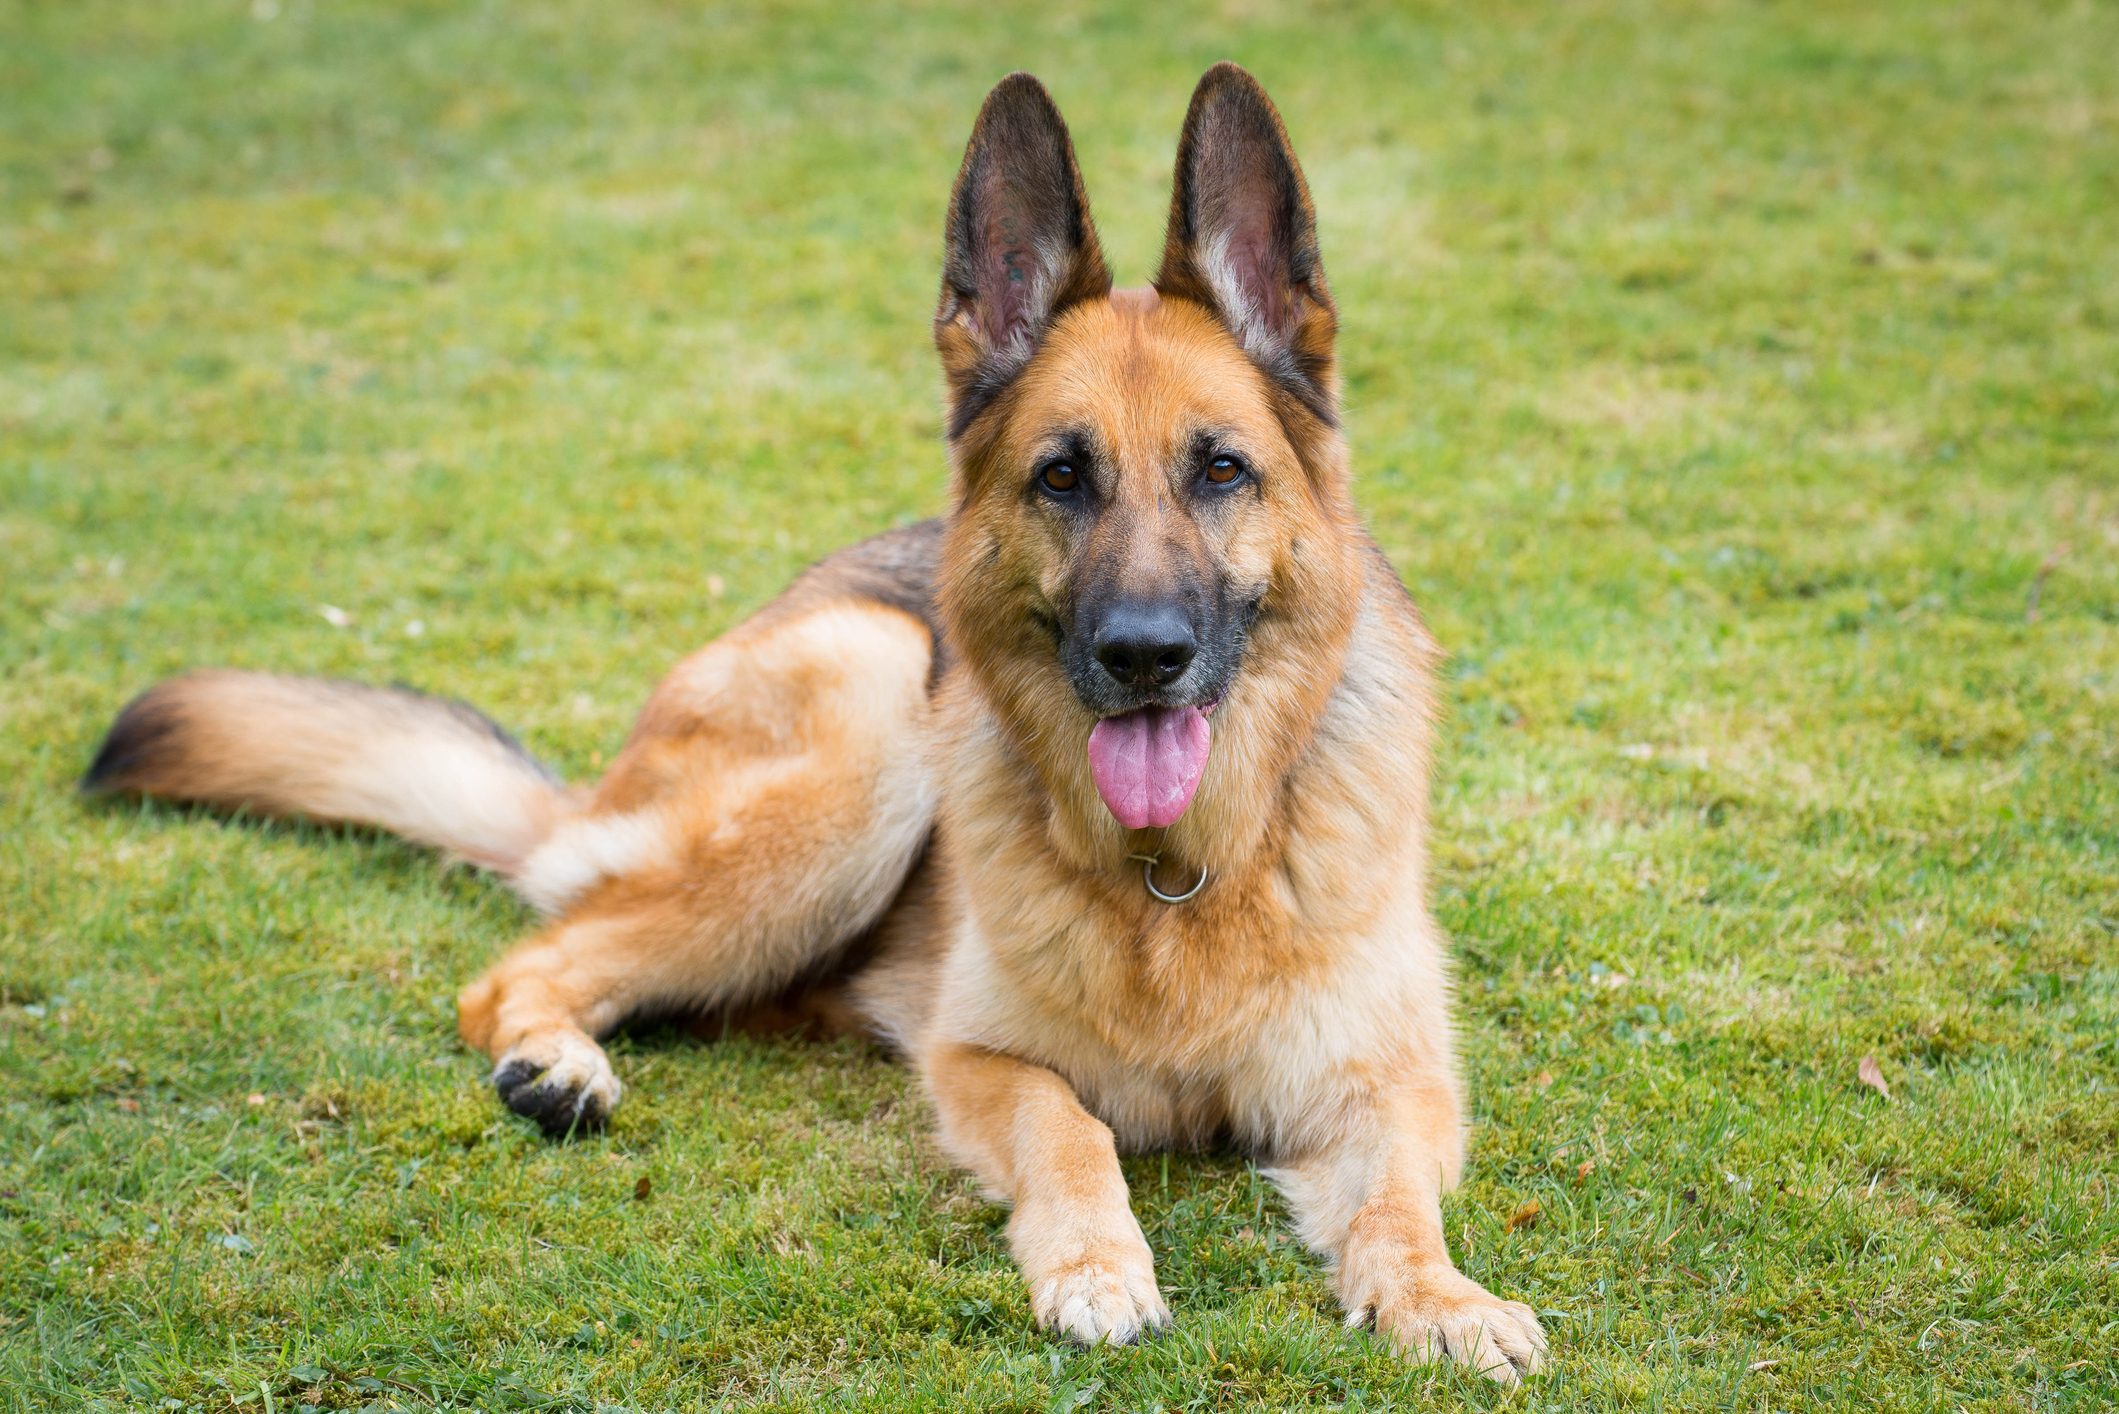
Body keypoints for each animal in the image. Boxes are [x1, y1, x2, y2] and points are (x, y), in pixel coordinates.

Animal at [82, 66, 1551, 1382]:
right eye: (1061, 477)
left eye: (1223, 470)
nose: (1141, 655)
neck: (1175, 876)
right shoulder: (979, 1057)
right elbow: (1070, 1129)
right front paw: (1093, 1262)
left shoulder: (1391, 1086)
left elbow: (1396, 1203)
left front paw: (1438, 1298)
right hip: (868, 721)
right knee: (520, 967)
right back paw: (553, 1060)